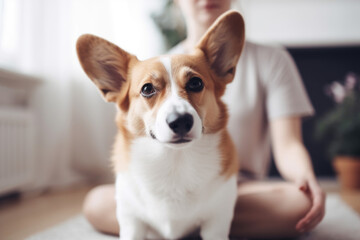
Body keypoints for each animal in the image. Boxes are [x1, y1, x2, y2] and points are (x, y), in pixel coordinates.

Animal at [76, 10, 245, 239]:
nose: (180, 121)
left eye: (196, 83)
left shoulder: (217, 222)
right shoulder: (132, 221)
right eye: (147, 89)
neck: (174, 162)